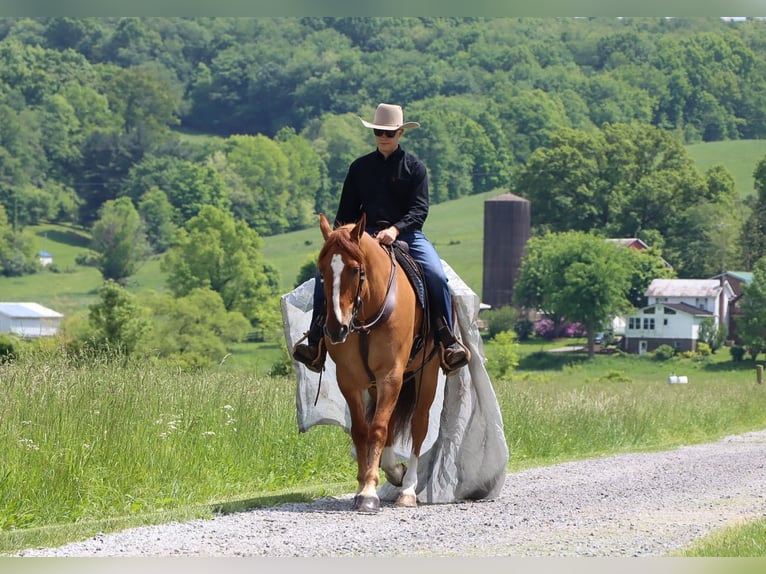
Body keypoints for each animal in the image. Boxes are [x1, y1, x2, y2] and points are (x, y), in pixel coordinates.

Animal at [316, 213, 440, 512]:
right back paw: (395, 472)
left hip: (425, 375)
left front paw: (370, 492)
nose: (336, 328)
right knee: (391, 422)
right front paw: (364, 484)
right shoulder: (350, 379)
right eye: (322, 270)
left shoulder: (391, 375)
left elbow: (378, 429)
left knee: (418, 425)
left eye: (354, 269)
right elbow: (363, 430)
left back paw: (408, 489)